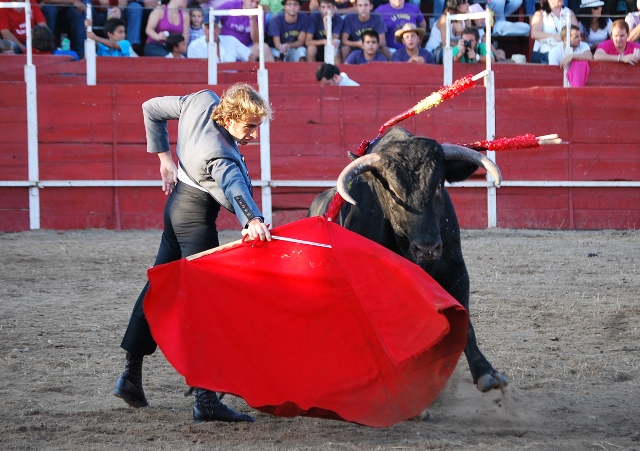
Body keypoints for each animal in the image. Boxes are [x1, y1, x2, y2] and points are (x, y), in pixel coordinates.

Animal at [310, 126, 510, 392]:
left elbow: (463, 321)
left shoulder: (454, 268)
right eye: (392, 192)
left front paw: (486, 372)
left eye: (438, 186)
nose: (427, 247)